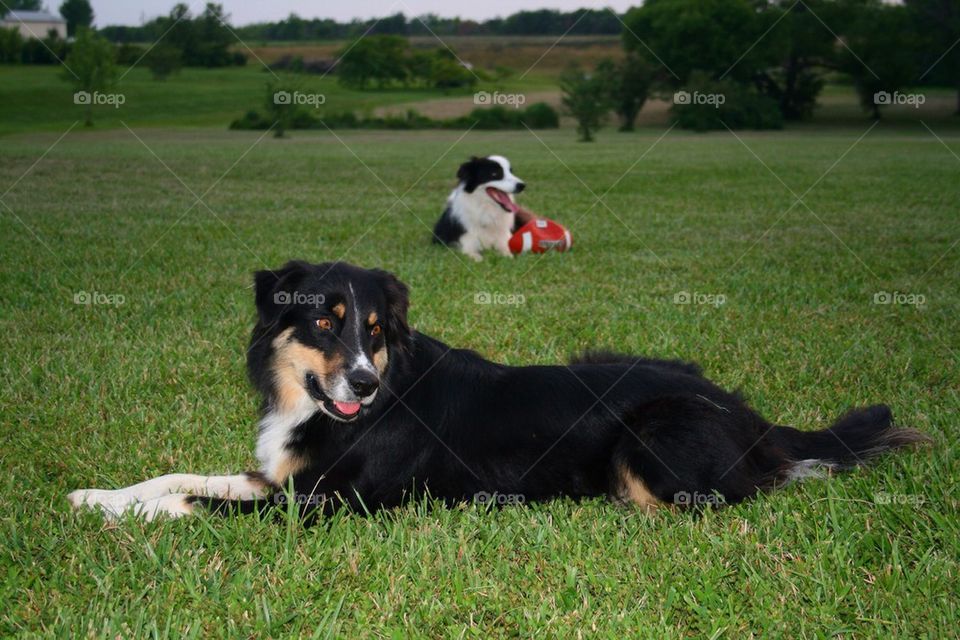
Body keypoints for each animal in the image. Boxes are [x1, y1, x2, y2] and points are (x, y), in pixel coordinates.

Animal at [71, 262, 928, 524]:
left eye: (376, 329)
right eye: (324, 322)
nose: (364, 381)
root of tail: (756, 417)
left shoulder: (324, 505)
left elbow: (194, 501)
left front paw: (128, 518)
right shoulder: (282, 478)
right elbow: (180, 476)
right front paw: (95, 496)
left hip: (649, 441)